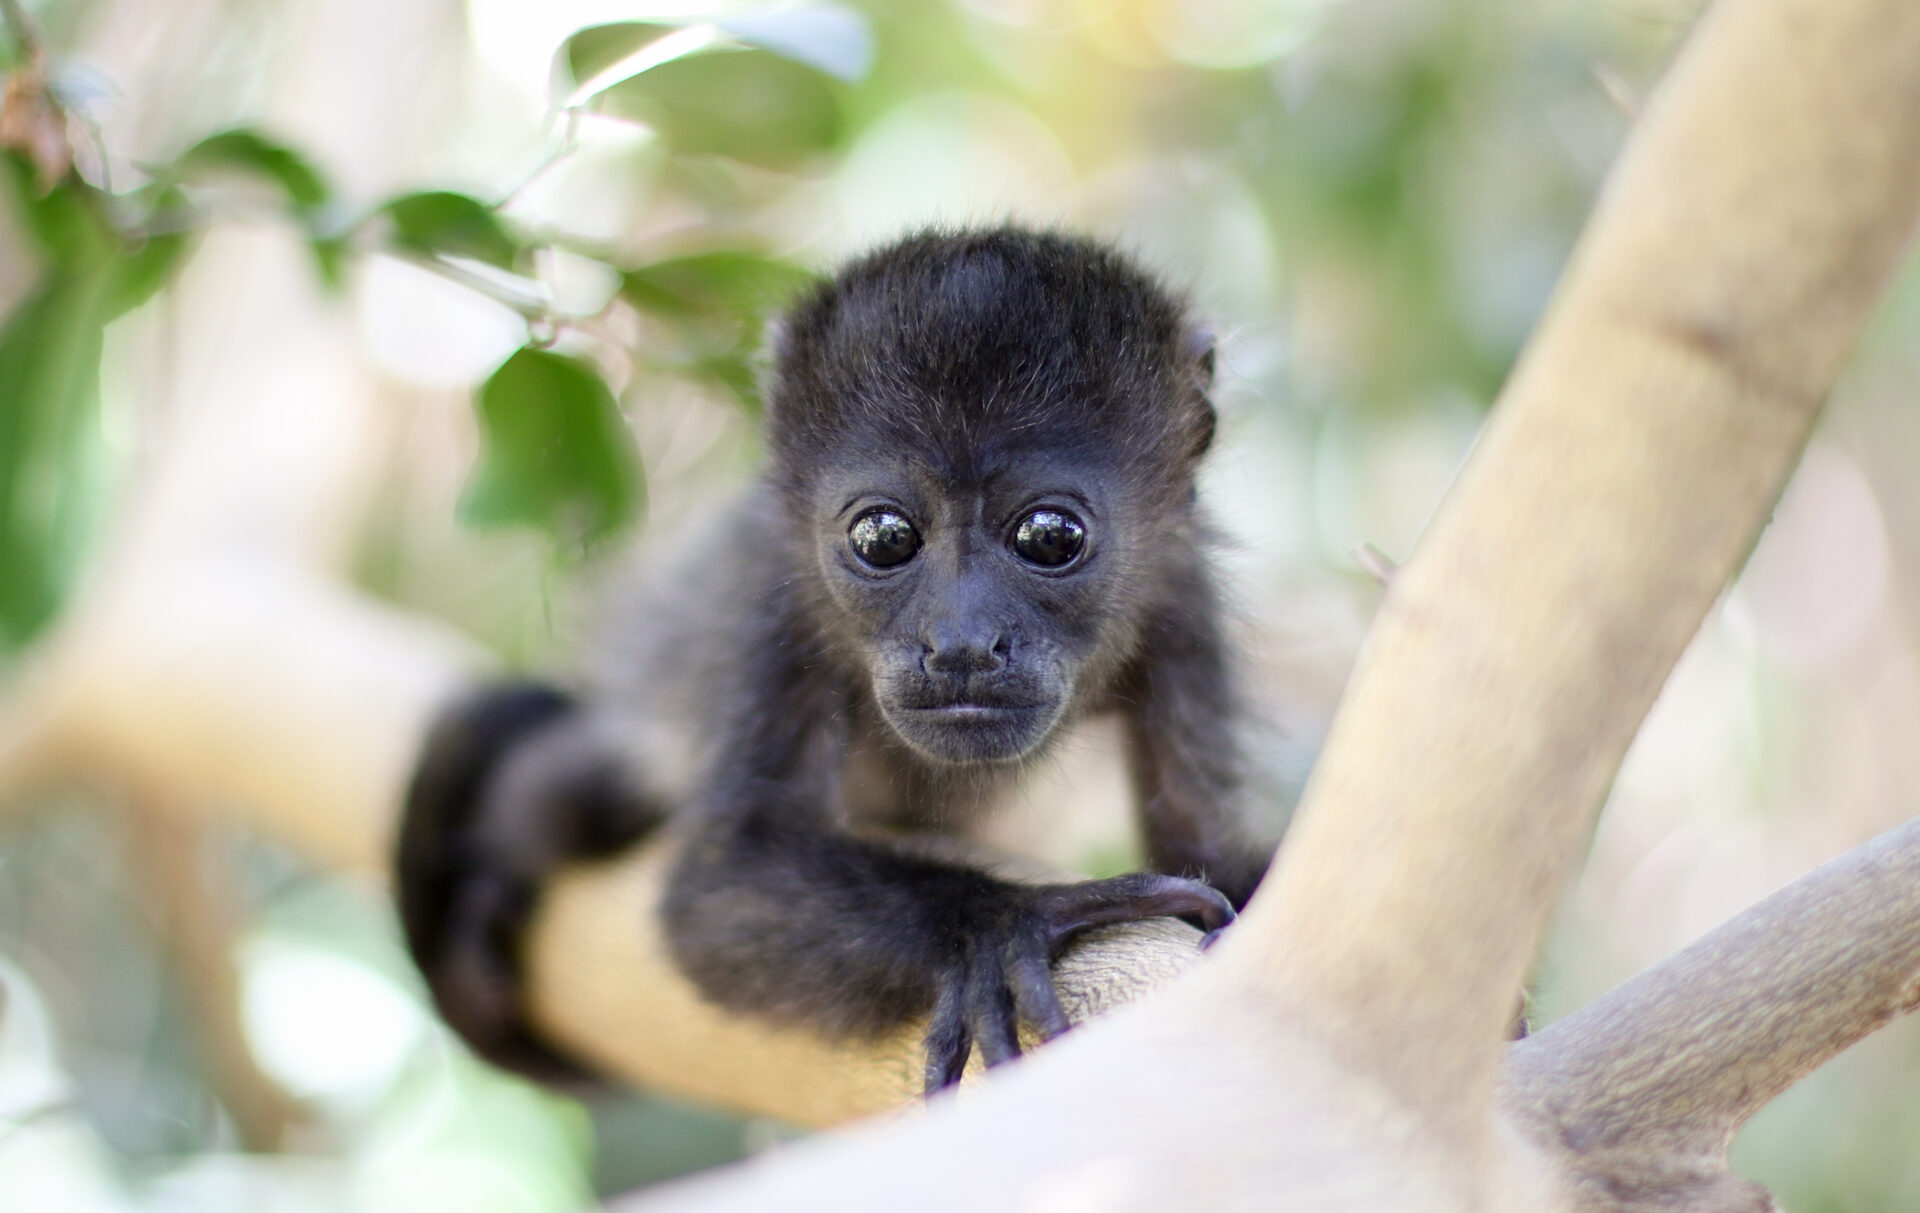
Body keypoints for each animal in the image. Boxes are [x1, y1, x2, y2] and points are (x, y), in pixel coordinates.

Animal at [396, 227, 1275, 1095]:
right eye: (883, 537)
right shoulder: (771, 602)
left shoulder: (1181, 605)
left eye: (1049, 535)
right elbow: (724, 889)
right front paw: (1003, 923)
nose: (960, 642)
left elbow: (1207, 842)